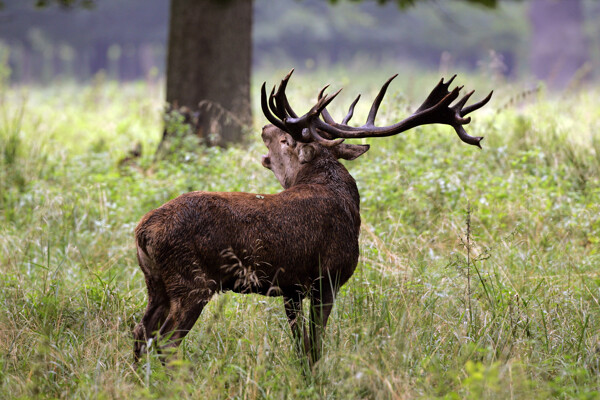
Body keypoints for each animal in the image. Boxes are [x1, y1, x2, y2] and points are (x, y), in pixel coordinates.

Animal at [132, 71, 492, 366]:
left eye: (283, 140)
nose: (264, 127)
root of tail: (143, 232)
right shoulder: (328, 277)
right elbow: (316, 342)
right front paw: (316, 378)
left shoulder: (290, 286)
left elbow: (299, 343)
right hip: (192, 281)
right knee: (164, 343)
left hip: (156, 282)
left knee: (140, 332)